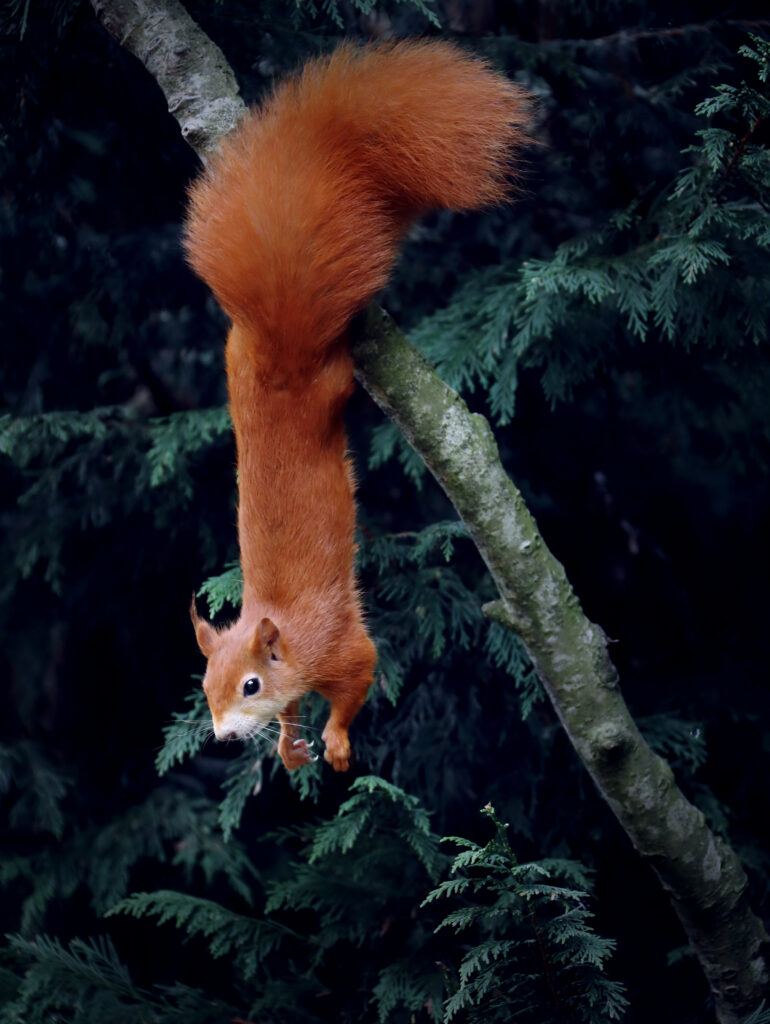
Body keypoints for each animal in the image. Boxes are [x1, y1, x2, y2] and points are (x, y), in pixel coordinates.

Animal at [184, 39, 531, 772]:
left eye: (249, 683)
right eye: (204, 685)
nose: (224, 737)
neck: (286, 627)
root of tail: (280, 357)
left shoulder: (340, 644)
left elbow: (359, 677)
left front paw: (338, 741)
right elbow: (296, 711)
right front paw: (288, 742)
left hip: (331, 376)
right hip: (236, 356)